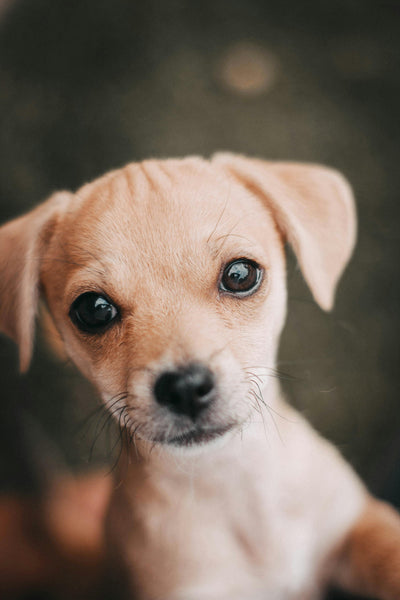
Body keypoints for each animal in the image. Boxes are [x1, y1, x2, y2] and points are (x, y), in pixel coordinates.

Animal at [0, 156, 400, 600]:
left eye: (240, 274)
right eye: (93, 309)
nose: (185, 388)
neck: (229, 475)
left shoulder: (354, 522)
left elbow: (387, 547)